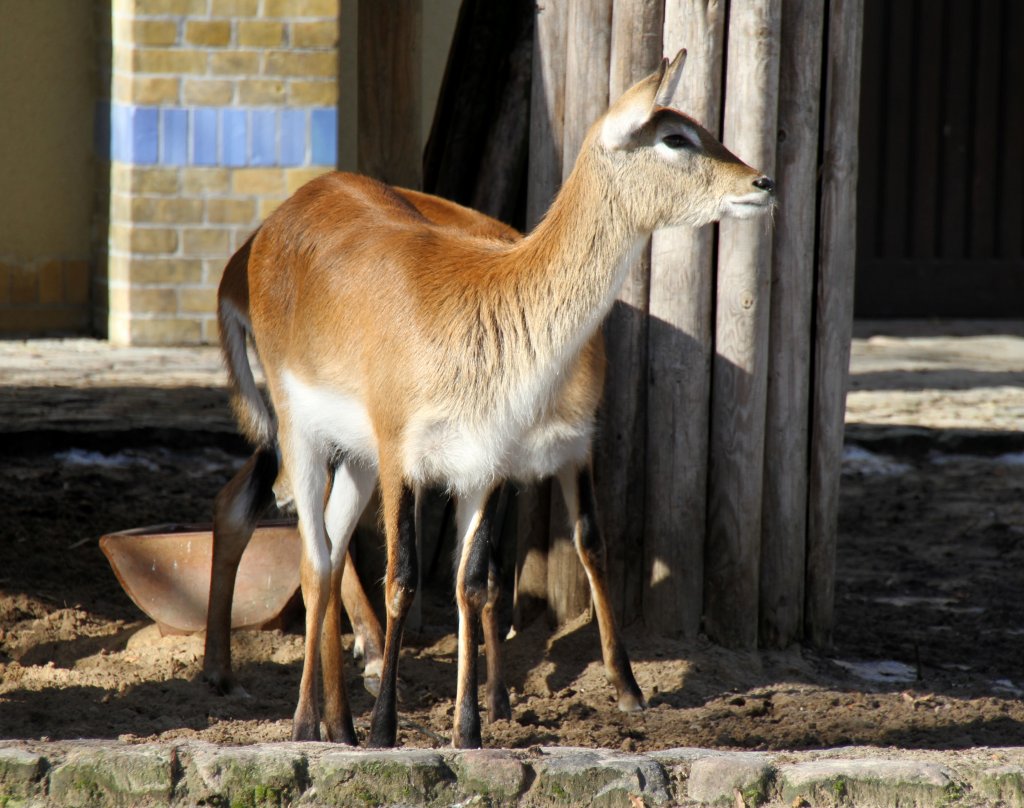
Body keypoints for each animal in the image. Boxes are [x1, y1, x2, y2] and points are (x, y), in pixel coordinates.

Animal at [214, 48, 774, 745]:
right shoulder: (403, 457)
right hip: (303, 436)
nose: (762, 183)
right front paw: (386, 730)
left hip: (357, 459)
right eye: (674, 136)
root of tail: (263, 236)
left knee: (333, 553)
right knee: (314, 559)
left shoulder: (483, 466)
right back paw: (304, 724)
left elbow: (472, 584)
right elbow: (404, 582)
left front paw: (470, 729)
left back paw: (336, 724)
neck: (486, 304)